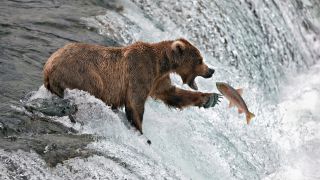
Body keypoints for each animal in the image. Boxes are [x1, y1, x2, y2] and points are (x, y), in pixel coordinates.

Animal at [43, 38, 220, 134]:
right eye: (199, 60)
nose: (211, 70)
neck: (162, 64)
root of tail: (48, 67)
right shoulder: (140, 71)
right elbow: (135, 103)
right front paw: (140, 131)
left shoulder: (158, 79)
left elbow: (172, 93)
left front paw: (211, 98)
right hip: (84, 74)